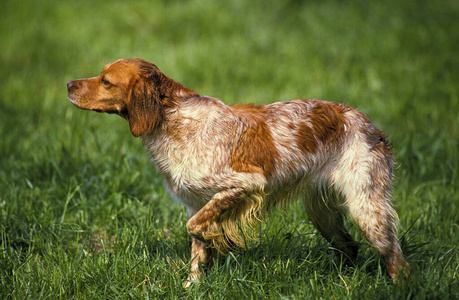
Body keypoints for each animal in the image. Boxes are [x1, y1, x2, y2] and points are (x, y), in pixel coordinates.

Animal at [67, 58, 410, 286]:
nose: (69, 84)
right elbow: (196, 249)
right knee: (350, 246)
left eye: (106, 81)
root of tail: (371, 125)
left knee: (397, 259)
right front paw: (193, 285)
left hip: (367, 209)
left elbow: (194, 228)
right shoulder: (196, 201)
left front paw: (220, 241)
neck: (173, 121)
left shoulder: (244, 185)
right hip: (323, 214)